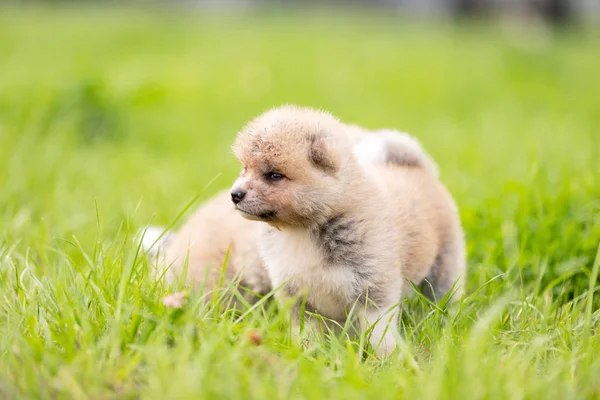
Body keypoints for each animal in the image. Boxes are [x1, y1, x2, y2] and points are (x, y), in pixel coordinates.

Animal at [232, 105, 466, 356]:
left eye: (274, 175)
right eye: (245, 169)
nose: (235, 194)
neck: (304, 230)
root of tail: (416, 167)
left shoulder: (372, 289)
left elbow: (379, 333)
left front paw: (384, 359)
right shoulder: (297, 294)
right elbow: (306, 333)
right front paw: (307, 354)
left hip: (444, 266)